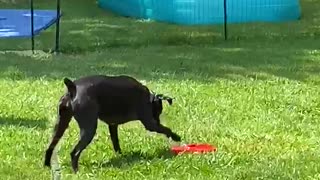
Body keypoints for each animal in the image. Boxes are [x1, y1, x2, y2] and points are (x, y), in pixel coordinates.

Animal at [43, 75, 181, 173]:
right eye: (158, 111)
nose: (158, 121)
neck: (149, 98)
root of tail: (73, 88)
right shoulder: (149, 123)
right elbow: (166, 129)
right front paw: (176, 137)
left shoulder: (113, 125)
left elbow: (116, 142)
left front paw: (121, 156)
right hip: (89, 128)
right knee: (74, 153)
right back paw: (76, 171)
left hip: (60, 125)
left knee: (50, 147)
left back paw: (47, 165)